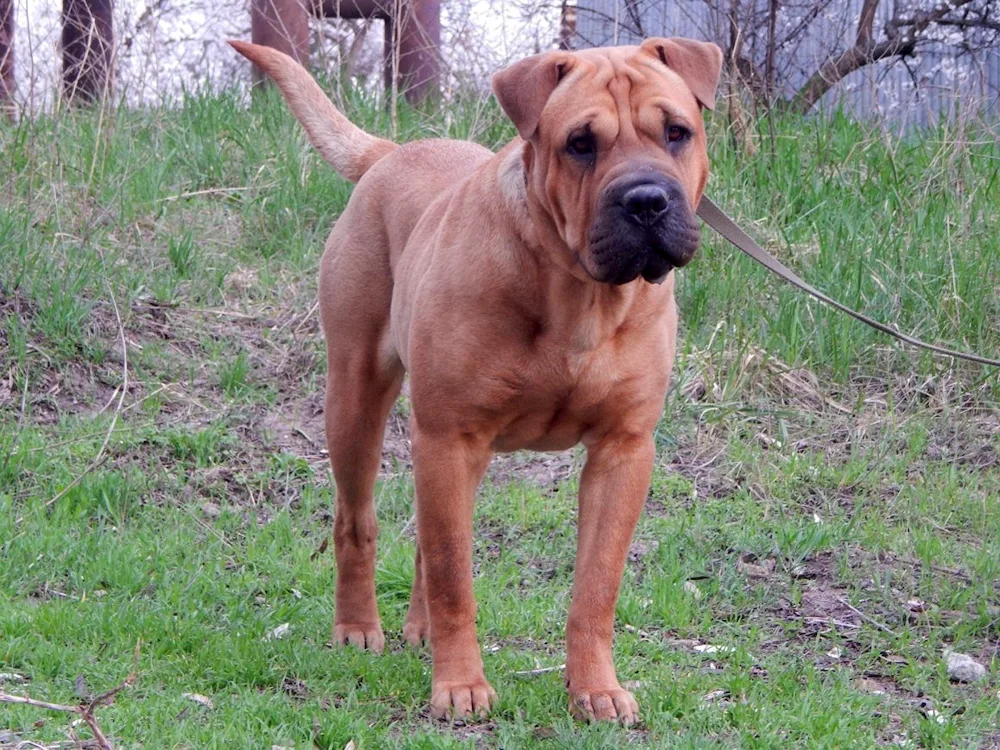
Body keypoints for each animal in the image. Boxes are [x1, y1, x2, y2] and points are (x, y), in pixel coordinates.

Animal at [231, 38, 724, 724]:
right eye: (580, 143)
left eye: (677, 132)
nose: (647, 200)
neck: (578, 297)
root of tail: (392, 152)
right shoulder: (448, 436)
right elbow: (454, 578)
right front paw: (460, 686)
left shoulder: (622, 452)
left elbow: (595, 588)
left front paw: (595, 688)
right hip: (356, 398)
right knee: (359, 521)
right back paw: (357, 628)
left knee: (426, 538)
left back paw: (420, 630)